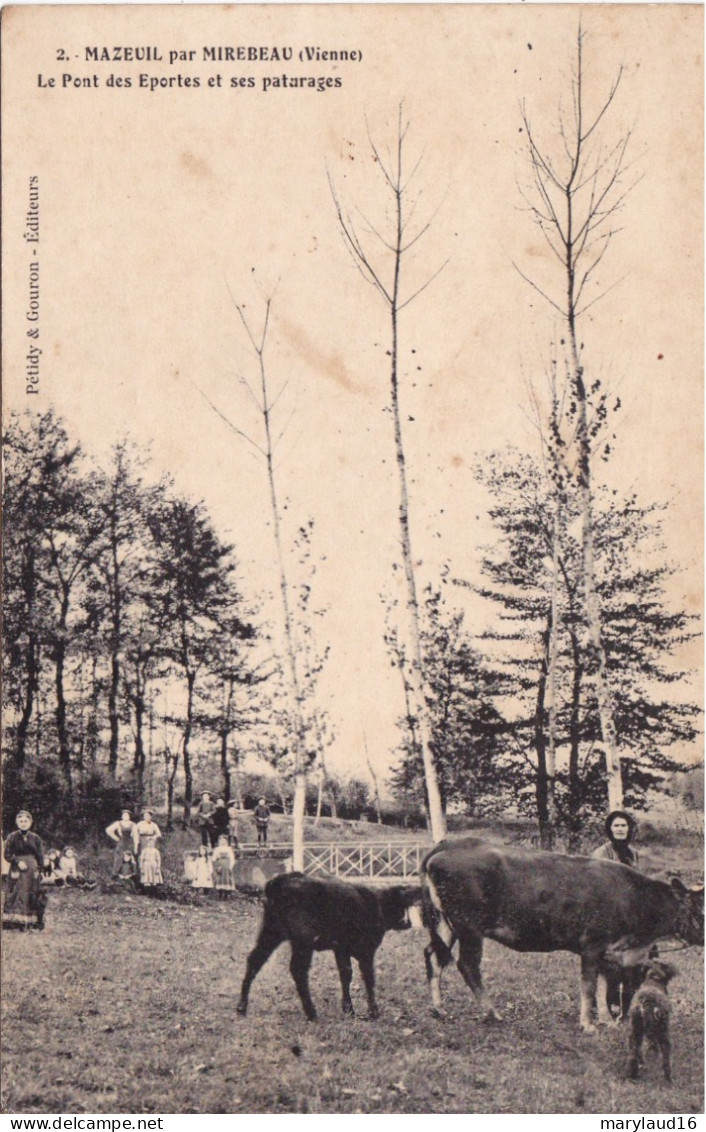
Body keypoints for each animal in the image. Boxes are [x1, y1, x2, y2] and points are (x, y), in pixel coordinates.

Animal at [235, 869, 418, 1023]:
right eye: (400, 905)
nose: (407, 923)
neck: (376, 903)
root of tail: (285, 879)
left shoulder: (341, 949)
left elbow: (346, 974)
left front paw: (349, 1010)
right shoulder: (367, 950)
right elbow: (369, 978)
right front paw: (373, 1012)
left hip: (271, 933)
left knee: (255, 960)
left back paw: (241, 1007)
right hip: (303, 941)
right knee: (298, 970)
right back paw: (311, 1013)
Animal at [418, 842, 701, 1036]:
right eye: (700, 909)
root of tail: (448, 845)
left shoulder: (608, 953)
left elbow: (601, 987)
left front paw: (606, 1021)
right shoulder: (592, 945)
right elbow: (589, 987)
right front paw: (588, 1024)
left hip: (446, 924)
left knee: (434, 956)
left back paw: (439, 1008)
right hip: (469, 928)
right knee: (467, 965)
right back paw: (492, 1012)